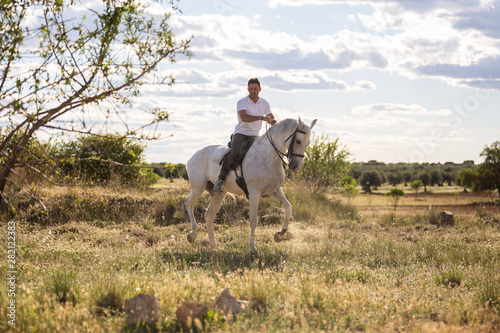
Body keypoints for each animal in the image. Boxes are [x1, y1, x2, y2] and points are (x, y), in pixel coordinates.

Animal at [184, 118, 316, 250]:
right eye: (298, 141)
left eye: (308, 143)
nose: (296, 166)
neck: (268, 156)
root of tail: (193, 156)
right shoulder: (254, 193)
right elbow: (253, 220)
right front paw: (253, 248)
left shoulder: (275, 190)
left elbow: (288, 208)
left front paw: (279, 234)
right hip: (197, 188)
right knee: (188, 203)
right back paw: (193, 234)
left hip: (219, 194)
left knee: (209, 216)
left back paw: (214, 246)